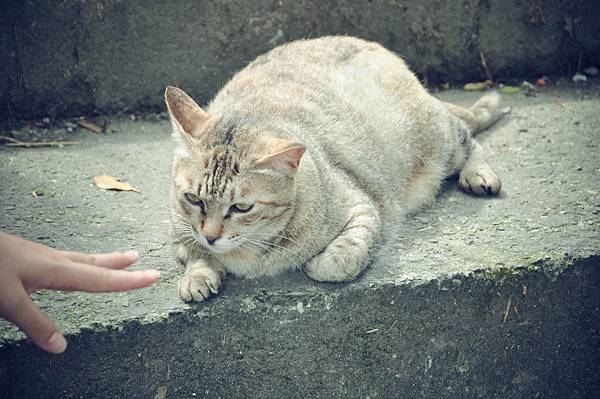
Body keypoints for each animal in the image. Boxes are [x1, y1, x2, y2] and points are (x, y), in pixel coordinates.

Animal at [165, 36, 506, 302]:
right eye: (193, 199)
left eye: (242, 207)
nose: (211, 236)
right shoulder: (181, 230)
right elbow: (194, 251)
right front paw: (198, 275)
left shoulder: (365, 209)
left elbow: (342, 260)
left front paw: (316, 264)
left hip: (440, 141)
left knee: (470, 138)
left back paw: (479, 174)